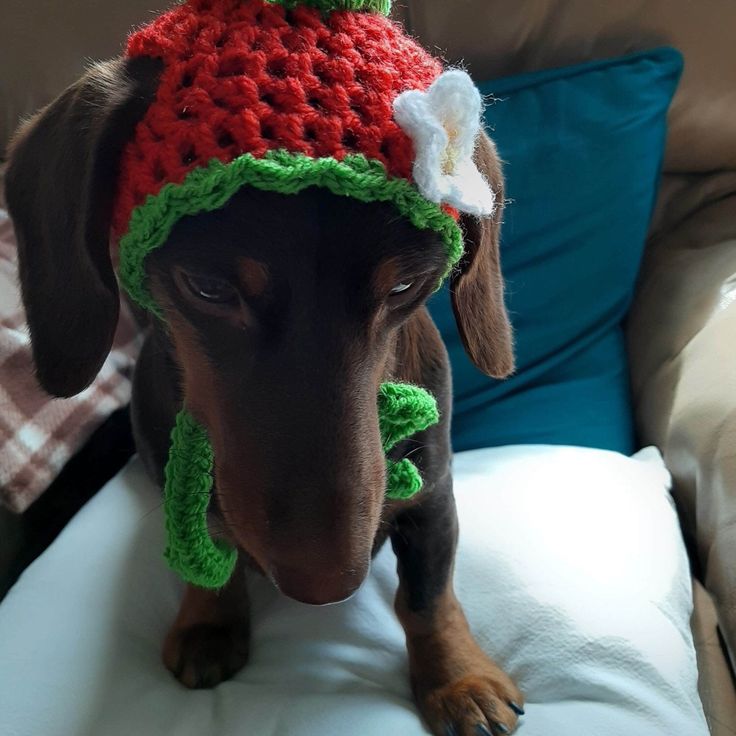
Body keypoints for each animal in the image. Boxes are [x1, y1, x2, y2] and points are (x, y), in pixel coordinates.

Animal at [5, 17, 524, 736]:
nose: (325, 588)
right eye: (208, 287)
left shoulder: (434, 491)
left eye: (405, 286)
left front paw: (457, 677)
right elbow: (205, 553)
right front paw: (210, 622)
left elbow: (428, 595)